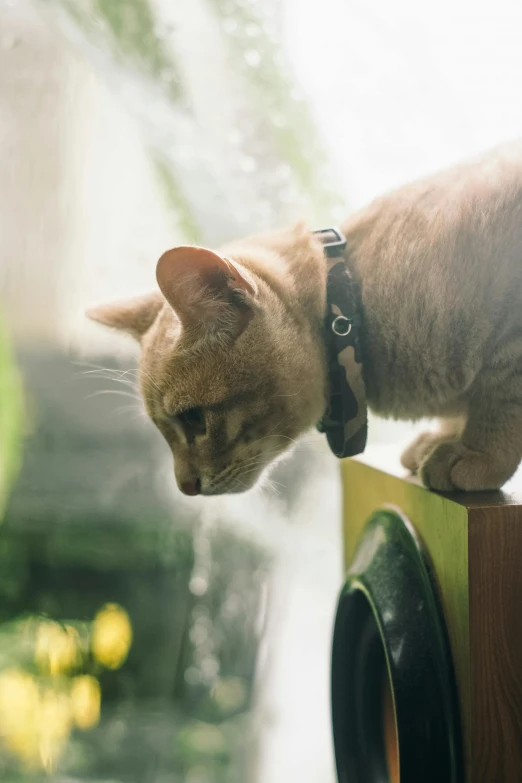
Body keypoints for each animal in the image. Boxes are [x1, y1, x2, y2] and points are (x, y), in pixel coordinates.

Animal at [87, 141, 520, 496]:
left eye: (194, 419)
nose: (185, 487)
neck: (352, 300)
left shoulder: (508, 341)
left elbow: (500, 397)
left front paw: (476, 451)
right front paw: (447, 438)